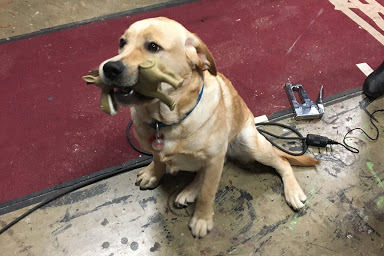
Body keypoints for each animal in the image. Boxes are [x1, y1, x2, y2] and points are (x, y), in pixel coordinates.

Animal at [98, 17, 318, 238]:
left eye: (153, 46)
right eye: (122, 42)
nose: (109, 68)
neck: (167, 119)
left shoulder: (214, 159)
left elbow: (207, 193)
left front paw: (202, 219)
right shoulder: (159, 148)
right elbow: (158, 159)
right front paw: (153, 173)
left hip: (250, 143)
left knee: (282, 162)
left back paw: (292, 192)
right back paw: (189, 190)